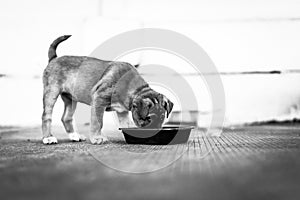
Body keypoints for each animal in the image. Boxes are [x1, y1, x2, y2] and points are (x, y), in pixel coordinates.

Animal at [41, 36, 173, 145]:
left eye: (162, 117)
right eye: (149, 118)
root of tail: (54, 58)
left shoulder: (122, 112)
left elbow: (126, 124)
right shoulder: (99, 99)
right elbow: (98, 122)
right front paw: (97, 138)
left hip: (71, 98)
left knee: (66, 117)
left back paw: (74, 136)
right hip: (51, 92)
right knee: (46, 116)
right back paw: (48, 138)